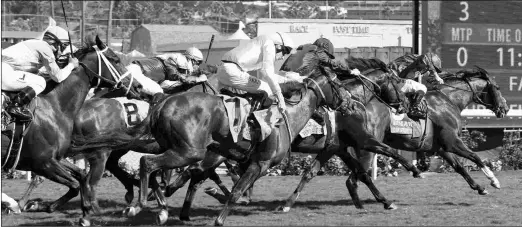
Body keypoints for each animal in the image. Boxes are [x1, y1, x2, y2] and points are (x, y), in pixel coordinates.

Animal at [0, 35, 142, 216]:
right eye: (115, 59)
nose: (138, 86)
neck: (55, 105)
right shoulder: (43, 162)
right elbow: (75, 184)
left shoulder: (54, 158)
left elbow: (81, 177)